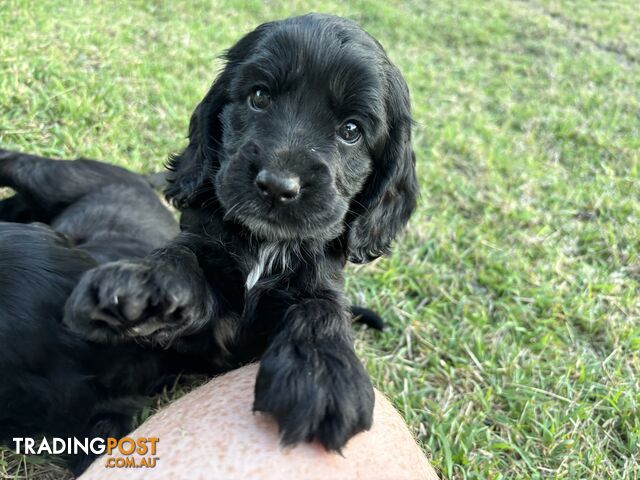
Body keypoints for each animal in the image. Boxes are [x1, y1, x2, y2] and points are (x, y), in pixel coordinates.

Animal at [63, 13, 416, 452]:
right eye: (259, 97)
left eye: (351, 130)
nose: (278, 186)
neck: (266, 245)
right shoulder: (205, 250)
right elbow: (183, 254)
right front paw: (143, 286)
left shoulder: (319, 277)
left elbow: (322, 305)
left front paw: (322, 373)